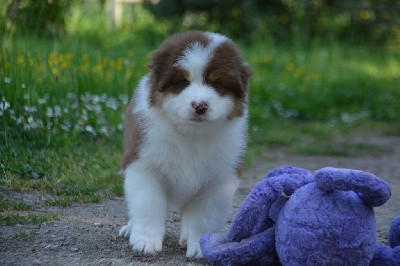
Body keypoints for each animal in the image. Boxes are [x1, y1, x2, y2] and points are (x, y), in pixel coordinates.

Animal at [117, 30, 252, 258]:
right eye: (183, 82)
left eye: (216, 85)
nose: (200, 105)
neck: (191, 134)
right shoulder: (144, 166)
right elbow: (148, 205)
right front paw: (145, 241)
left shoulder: (219, 180)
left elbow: (205, 217)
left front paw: (199, 247)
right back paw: (130, 228)